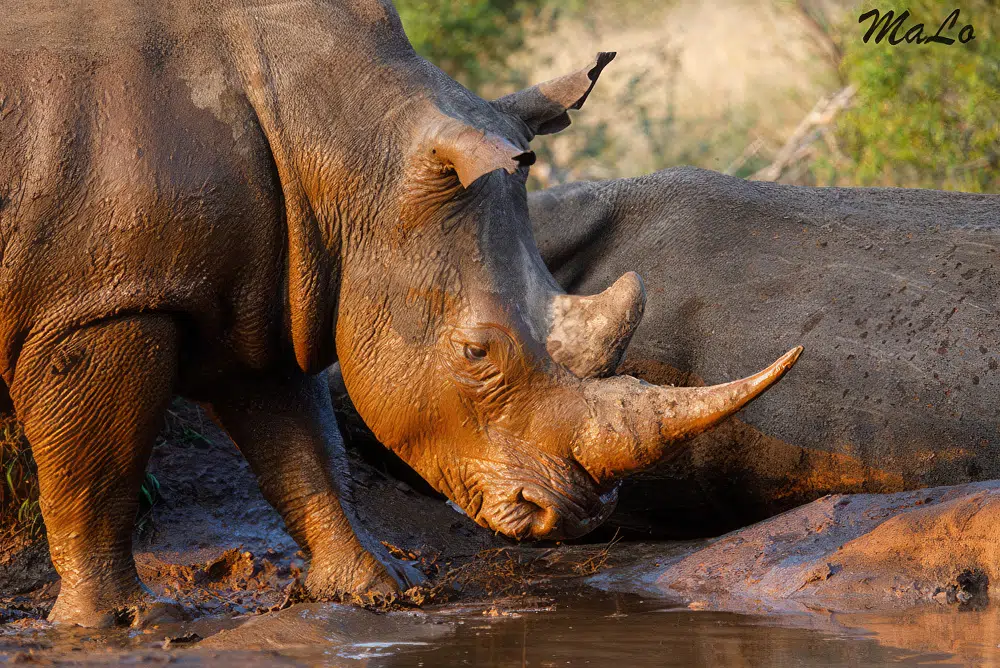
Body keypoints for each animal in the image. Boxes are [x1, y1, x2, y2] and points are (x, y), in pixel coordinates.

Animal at [0, 1, 799, 626]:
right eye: (477, 354)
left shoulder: (269, 284)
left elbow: (302, 447)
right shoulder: (103, 303)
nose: (574, 518)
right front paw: (122, 622)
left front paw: (383, 588)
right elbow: (98, 470)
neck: (343, 141)